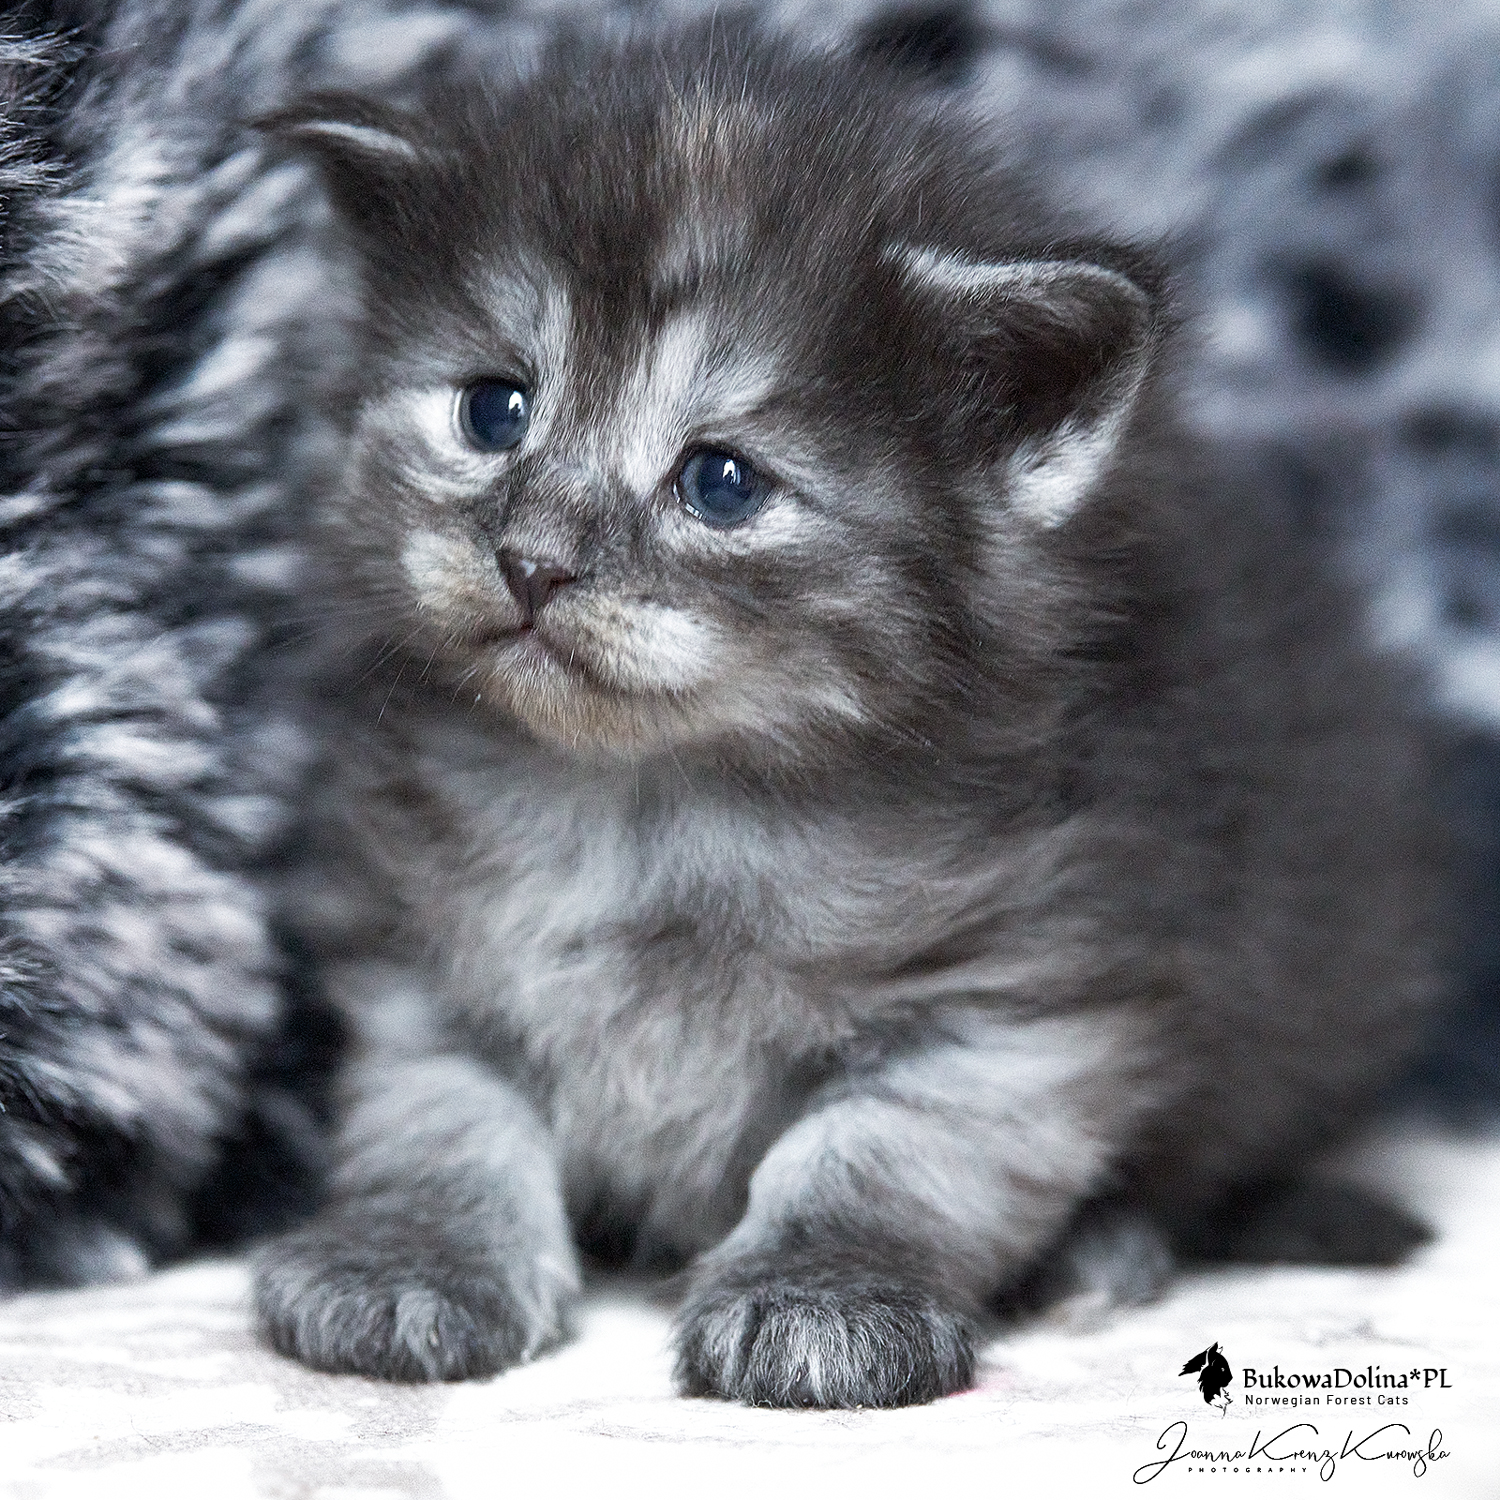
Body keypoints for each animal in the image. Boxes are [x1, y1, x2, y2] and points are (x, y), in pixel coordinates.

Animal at [248, 21, 1442, 1408]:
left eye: (720, 483)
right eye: (493, 410)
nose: (532, 561)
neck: (653, 799)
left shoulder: (1023, 992)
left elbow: (882, 1149)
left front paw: (824, 1293)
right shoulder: (426, 959)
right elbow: (440, 1117)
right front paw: (407, 1257)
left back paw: (1104, 1250)